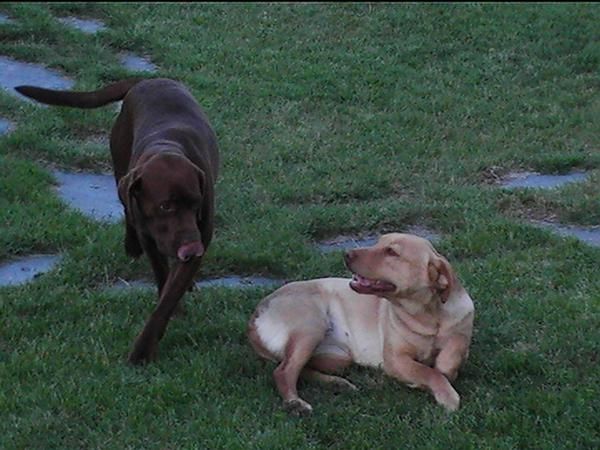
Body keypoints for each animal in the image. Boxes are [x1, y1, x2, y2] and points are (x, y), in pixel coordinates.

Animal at [17, 79, 221, 364]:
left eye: (196, 203)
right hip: (119, 171)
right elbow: (162, 277)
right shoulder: (151, 237)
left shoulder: (198, 235)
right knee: (127, 211)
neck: (167, 145)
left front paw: (145, 347)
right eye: (165, 206)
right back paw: (131, 245)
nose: (192, 248)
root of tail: (146, 80)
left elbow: (168, 296)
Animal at [248, 236, 474, 414]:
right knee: (283, 372)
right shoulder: (396, 359)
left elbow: (454, 348)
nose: (347, 254)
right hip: (310, 327)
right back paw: (295, 403)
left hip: (337, 358)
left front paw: (445, 365)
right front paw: (445, 393)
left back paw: (337, 384)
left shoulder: (461, 335)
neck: (427, 316)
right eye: (378, 242)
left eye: (391, 252)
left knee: (300, 368)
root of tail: (256, 313)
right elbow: (429, 372)